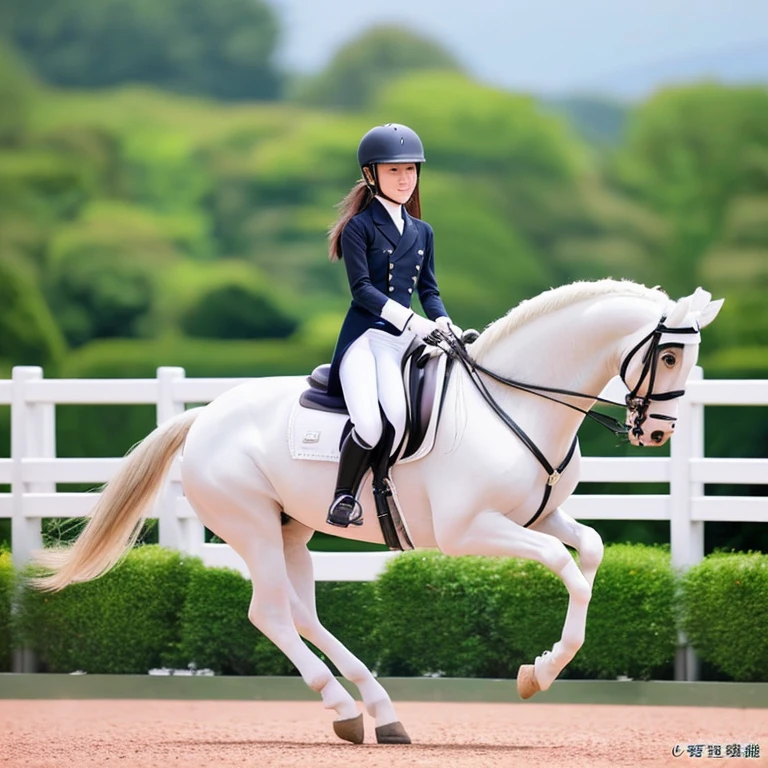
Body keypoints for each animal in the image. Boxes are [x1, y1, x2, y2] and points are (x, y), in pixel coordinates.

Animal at [34, 280, 720, 744]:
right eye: (667, 357)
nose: (657, 433)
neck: (516, 405)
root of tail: (203, 417)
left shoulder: (534, 518)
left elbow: (592, 550)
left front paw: (541, 666)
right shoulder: (472, 531)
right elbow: (567, 568)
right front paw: (539, 674)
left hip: (291, 530)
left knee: (303, 612)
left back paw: (380, 712)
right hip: (250, 526)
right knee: (271, 614)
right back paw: (343, 710)